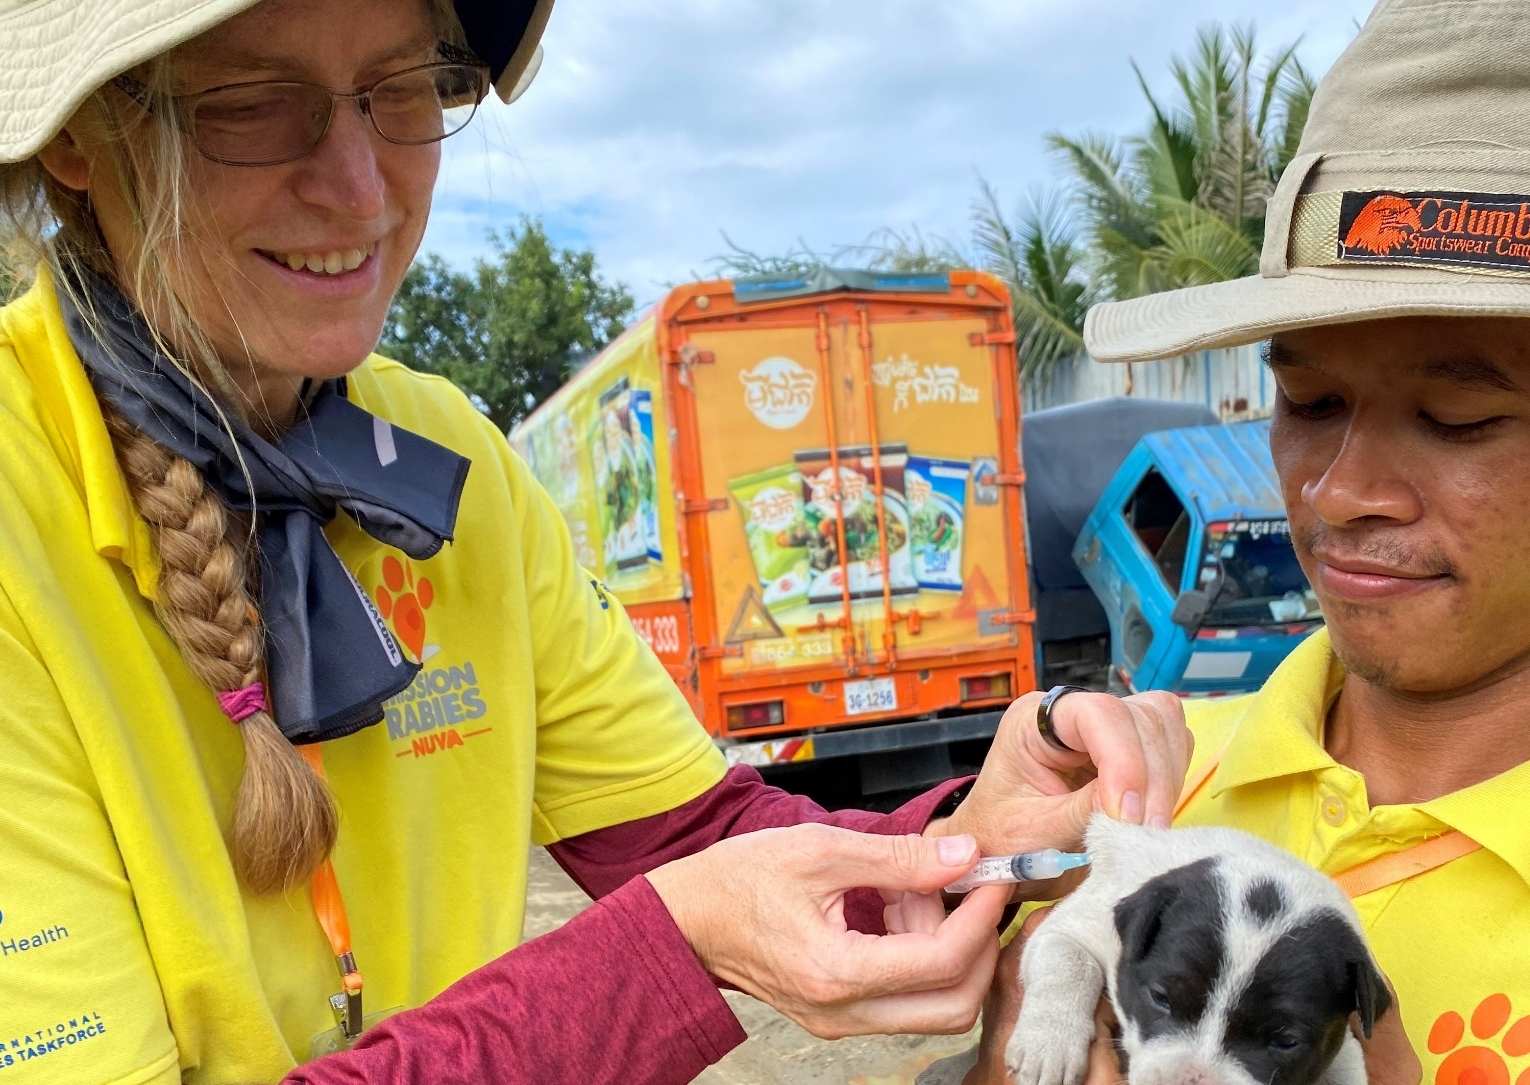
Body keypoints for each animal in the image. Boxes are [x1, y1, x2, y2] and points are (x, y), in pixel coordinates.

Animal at [1009, 814, 1395, 1083]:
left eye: (1286, 1042)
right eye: (1161, 998)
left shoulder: (1342, 1051)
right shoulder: (1077, 926)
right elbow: (1069, 960)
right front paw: (1049, 1047)